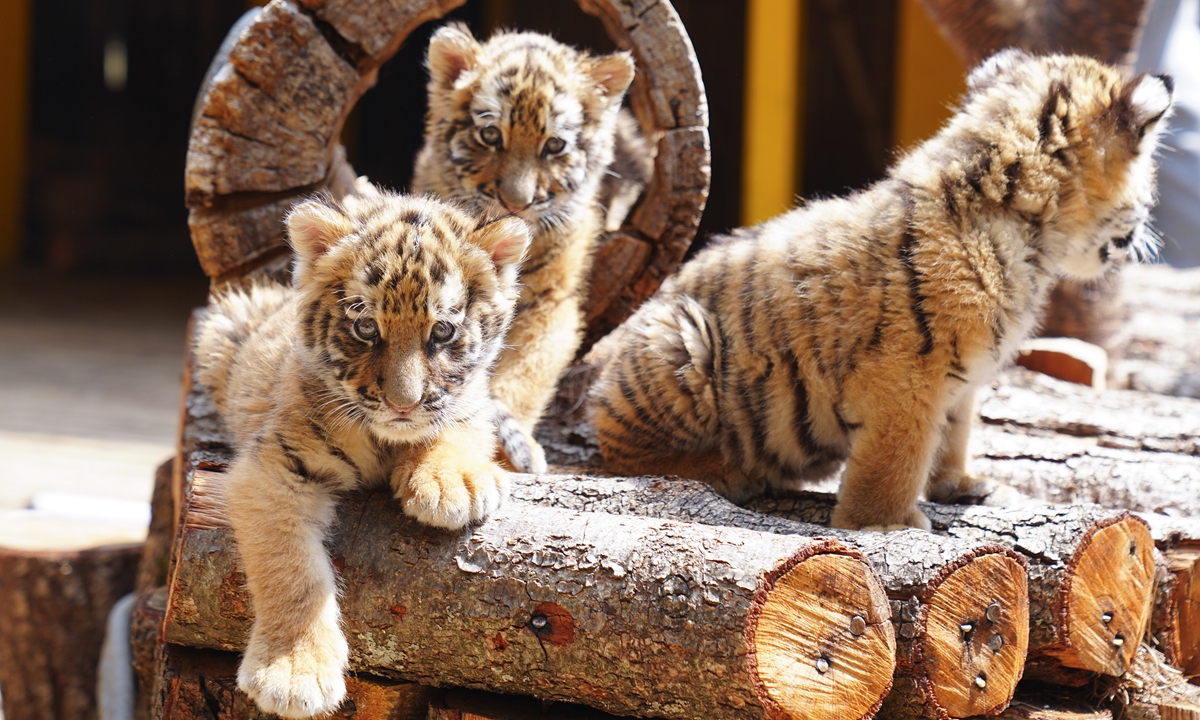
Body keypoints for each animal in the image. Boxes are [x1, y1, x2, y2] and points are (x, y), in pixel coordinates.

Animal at [193, 189, 529, 718]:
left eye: (443, 333)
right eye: (367, 328)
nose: (402, 404)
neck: (384, 439)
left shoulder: (471, 400)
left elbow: (460, 422)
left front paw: (453, 483)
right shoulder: (273, 469)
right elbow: (291, 570)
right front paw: (292, 673)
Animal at [411, 23, 637, 473]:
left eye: (554, 146)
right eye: (490, 135)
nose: (516, 202)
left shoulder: (552, 300)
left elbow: (526, 372)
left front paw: (515, 448)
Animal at [588, 50, 1173, 531]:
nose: (1147, 228)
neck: (1027, 229)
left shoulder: (963, 381)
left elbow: (955, 434)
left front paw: (964, 487)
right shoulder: (908, 376)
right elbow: (898, 457)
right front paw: (885, 526)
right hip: (677, 338)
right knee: (619, 455)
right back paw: (727, 469)